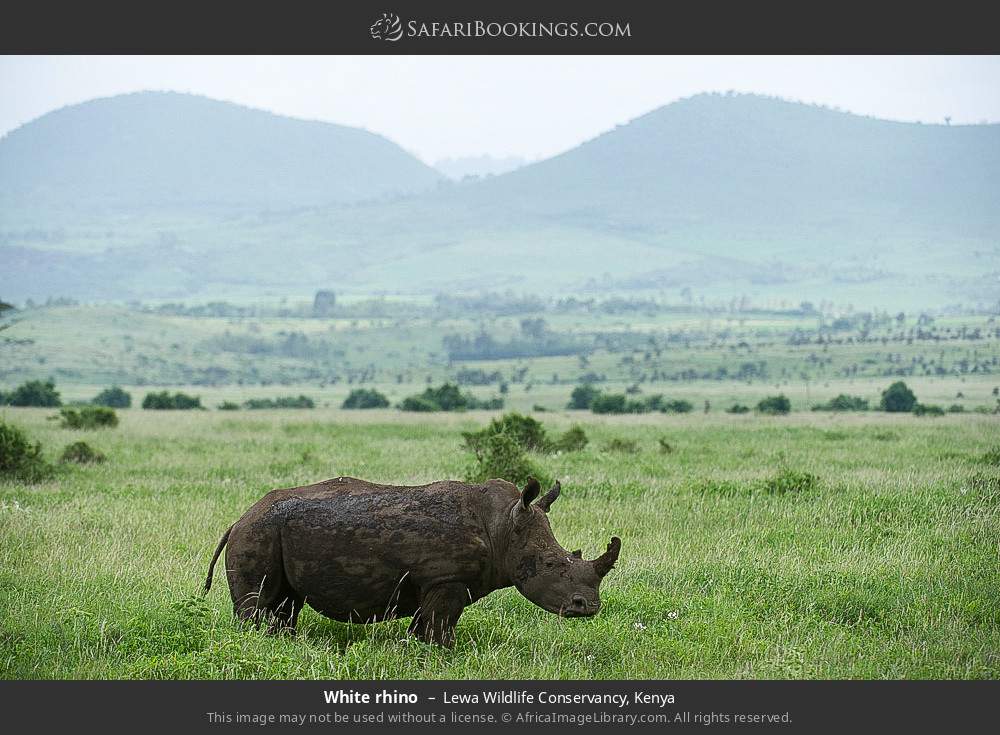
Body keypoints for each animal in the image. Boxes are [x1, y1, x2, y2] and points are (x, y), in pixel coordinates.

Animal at [203, 475, 621, 646]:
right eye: (550, 564)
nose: (587, 607)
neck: (503, 527)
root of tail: (238, 517)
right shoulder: (446, 580)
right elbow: (441, 627)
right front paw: (443, 656)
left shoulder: (432, 584)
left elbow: (426, 626)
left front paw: (419, 651)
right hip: (258, 532)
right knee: (256, 604)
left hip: (270, 531)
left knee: (286, 603)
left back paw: (282, 642)